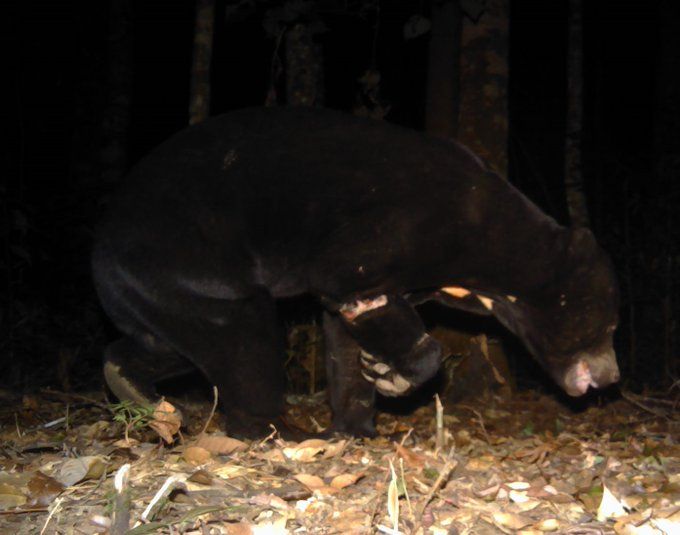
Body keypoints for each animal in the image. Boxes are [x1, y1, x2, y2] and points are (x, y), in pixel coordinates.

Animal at [92, 106, 620, 438]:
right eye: (610, 326)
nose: (611, 377)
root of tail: (101, 242)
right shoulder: (390, 231)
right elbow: (349, 287)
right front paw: (393, 376)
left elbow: (345, 336)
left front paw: (357, 421)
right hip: (187, 258)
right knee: (245, 339)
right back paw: (272, 429)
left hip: (154, 290)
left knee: (169, 342)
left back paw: (136, 390)